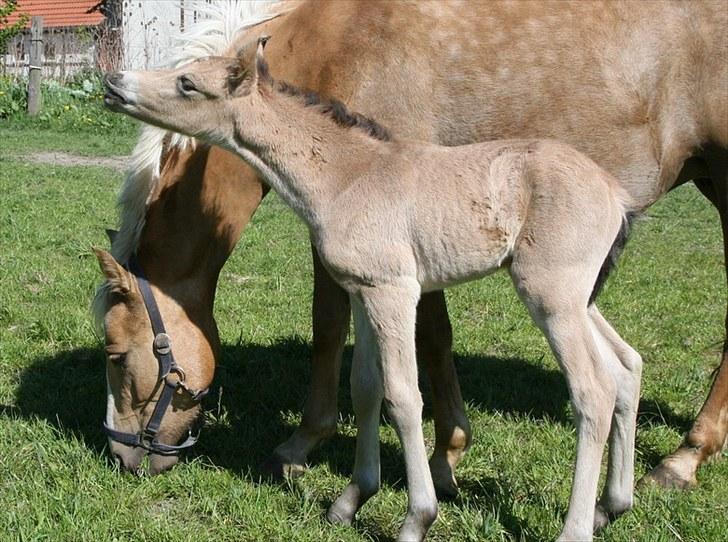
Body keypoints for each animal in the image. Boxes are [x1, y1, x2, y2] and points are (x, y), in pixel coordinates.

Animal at [95, 1, 728, 492]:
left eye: (117, 353)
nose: (121, 455)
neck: (335, 46)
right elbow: (417, 343)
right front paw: (445, 453)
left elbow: (345, 329)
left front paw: (305, 447)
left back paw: (681, 460)